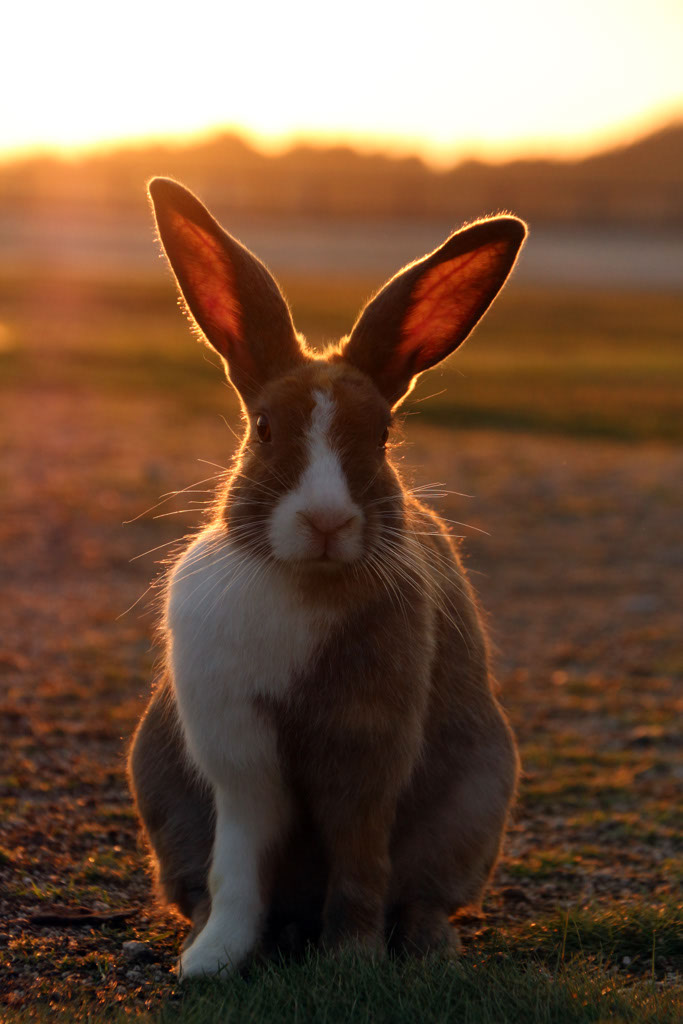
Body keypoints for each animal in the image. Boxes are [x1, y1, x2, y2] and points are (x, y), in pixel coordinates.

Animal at [128, 177, 526, 977]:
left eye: (382, 434)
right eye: (261, 428)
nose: (326, 521)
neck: (302, 581)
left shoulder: (366, 752)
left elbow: (360, 860)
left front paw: (351, 960)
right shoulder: (239, 759)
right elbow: (238, 867)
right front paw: (212, 962)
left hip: (474, 808)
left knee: (424, 897)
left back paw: (431, 952)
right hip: (164, 805)